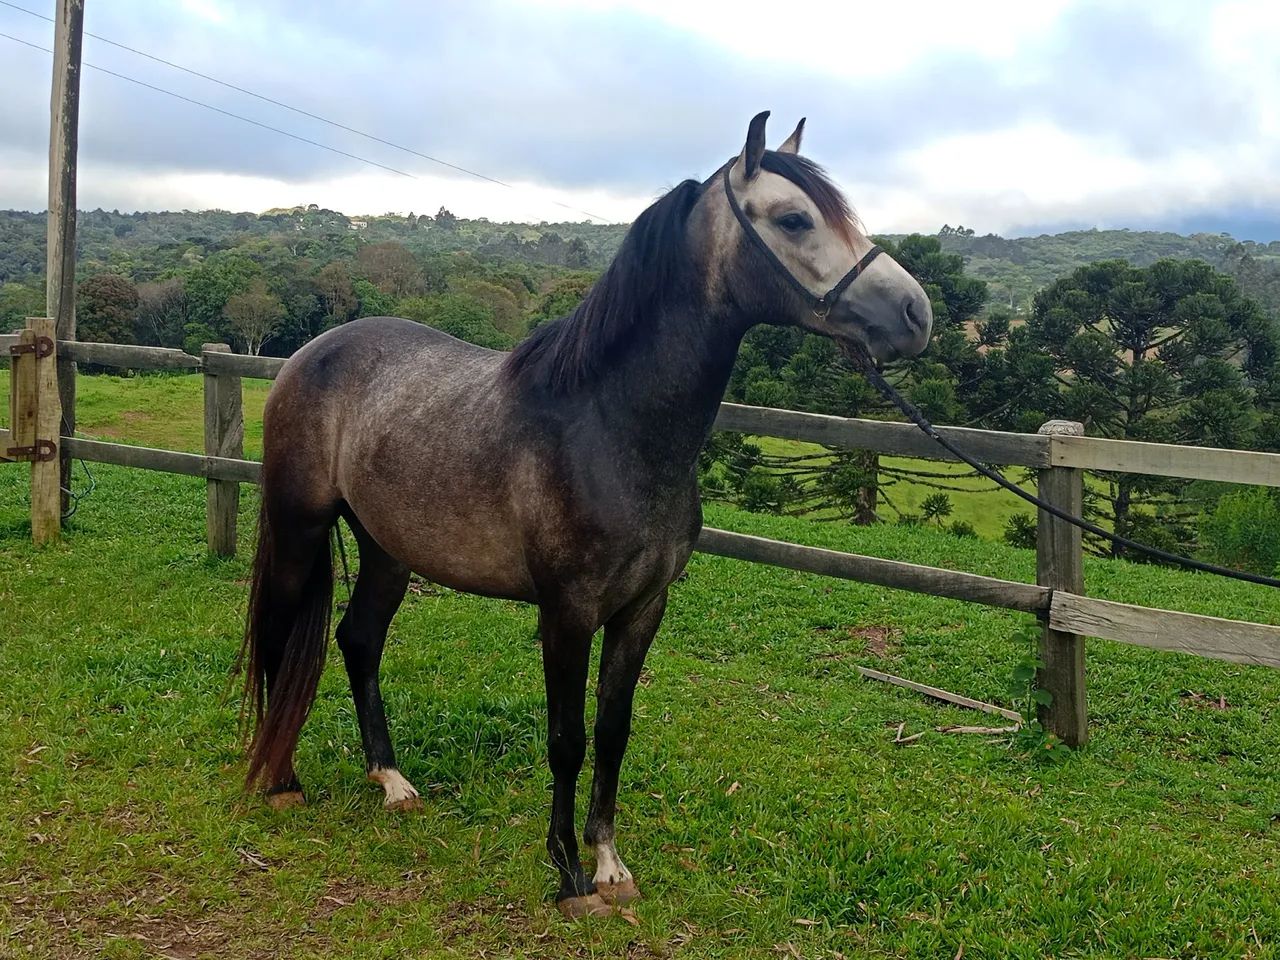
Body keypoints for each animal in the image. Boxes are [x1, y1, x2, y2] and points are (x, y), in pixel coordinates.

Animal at [239, 111, 933, 918]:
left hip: (389, 549)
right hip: (299, 529)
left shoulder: (642, 608)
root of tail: (310, 351)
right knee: (281, 632)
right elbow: (566, 738)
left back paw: (392, 780)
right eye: (794, 219)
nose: (915, 313)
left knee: (357, 640)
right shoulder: (567, 612)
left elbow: (612, 730)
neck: (607, 425)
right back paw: (280, 780)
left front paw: (609, 864)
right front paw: (567, 872)